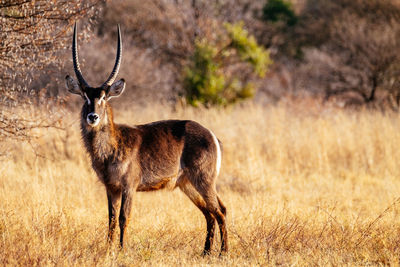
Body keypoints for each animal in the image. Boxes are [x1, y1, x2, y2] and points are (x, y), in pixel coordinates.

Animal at [65, 22, 228, 255]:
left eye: (104, 97)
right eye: (85, 96)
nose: (93, 116)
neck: (113, 145)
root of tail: (212, 135)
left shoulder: (129, 186)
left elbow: (124, 218)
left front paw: (122, 250)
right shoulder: (111, 187)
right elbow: (110, 219)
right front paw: (108, 250)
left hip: (204, 180)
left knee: (220, 210)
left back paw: (223, 252)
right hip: (187, 184)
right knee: (209, 213)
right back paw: (206, 252)